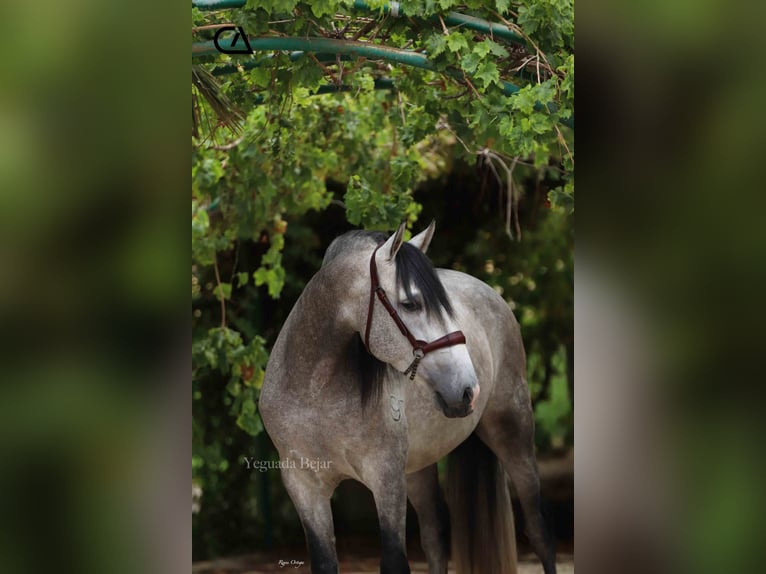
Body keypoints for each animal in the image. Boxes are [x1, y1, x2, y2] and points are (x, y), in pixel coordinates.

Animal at [260, 223, 556, 572]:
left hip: (513, 435)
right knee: (434, 538)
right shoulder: (304, 486)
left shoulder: (386, 478)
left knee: (539, 530)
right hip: (418, 468)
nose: (469, 390)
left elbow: (394, 561)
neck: (314, 393)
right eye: (411, 304)